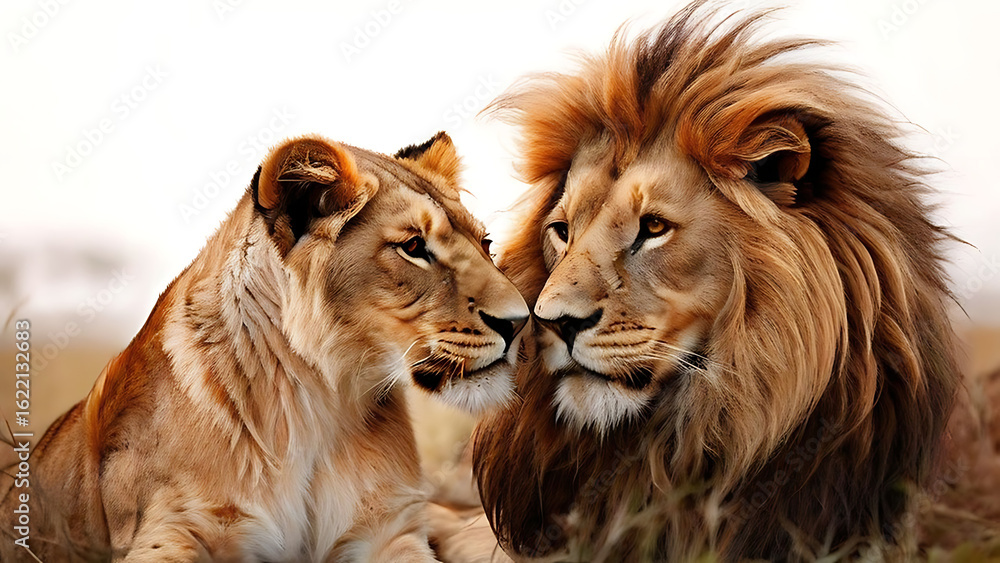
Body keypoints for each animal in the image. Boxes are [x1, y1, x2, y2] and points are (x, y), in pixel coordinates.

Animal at [1, 132, 528, 562]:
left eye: (485, 243)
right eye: (414, 247)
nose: (520, 322)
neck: (317, 405)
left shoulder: (389, 529)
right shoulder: (172, 527)